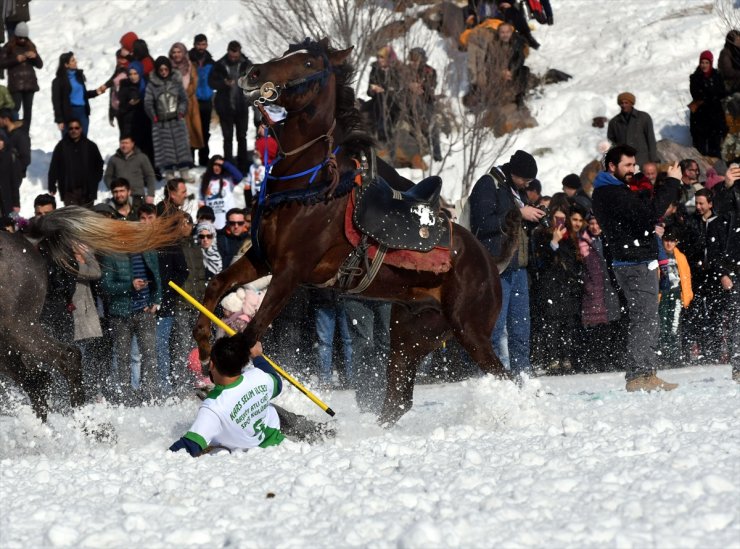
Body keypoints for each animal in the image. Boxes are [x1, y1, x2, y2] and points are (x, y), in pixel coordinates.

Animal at [191, 39, 516, 424]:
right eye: (287, 52)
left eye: (308, 62)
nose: (253, 73)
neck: (310, 185)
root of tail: (489, 261)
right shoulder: (261, 259)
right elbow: (216, 285)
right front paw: (204, 345)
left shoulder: (289, 271)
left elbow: (251, 330)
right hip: (411, 331)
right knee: (399, 397)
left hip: (470, 330)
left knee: (506, 378)